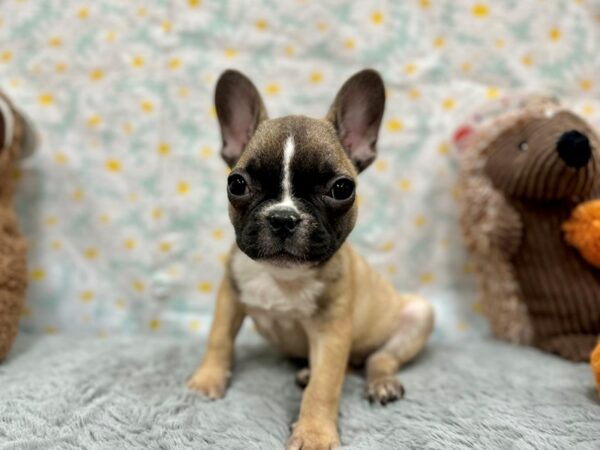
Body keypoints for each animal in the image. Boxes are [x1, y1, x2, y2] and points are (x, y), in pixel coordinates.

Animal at [190, 69, 434, 450]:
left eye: (342, 189)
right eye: (237, 184)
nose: (283, 218)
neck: (283, 277)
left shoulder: (331, 332)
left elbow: (324, 386)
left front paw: (314, 434)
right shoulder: (230, 297)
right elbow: (218, 339)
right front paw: (207, 380)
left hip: (418, 316)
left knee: (380, 359)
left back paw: (381, 383)